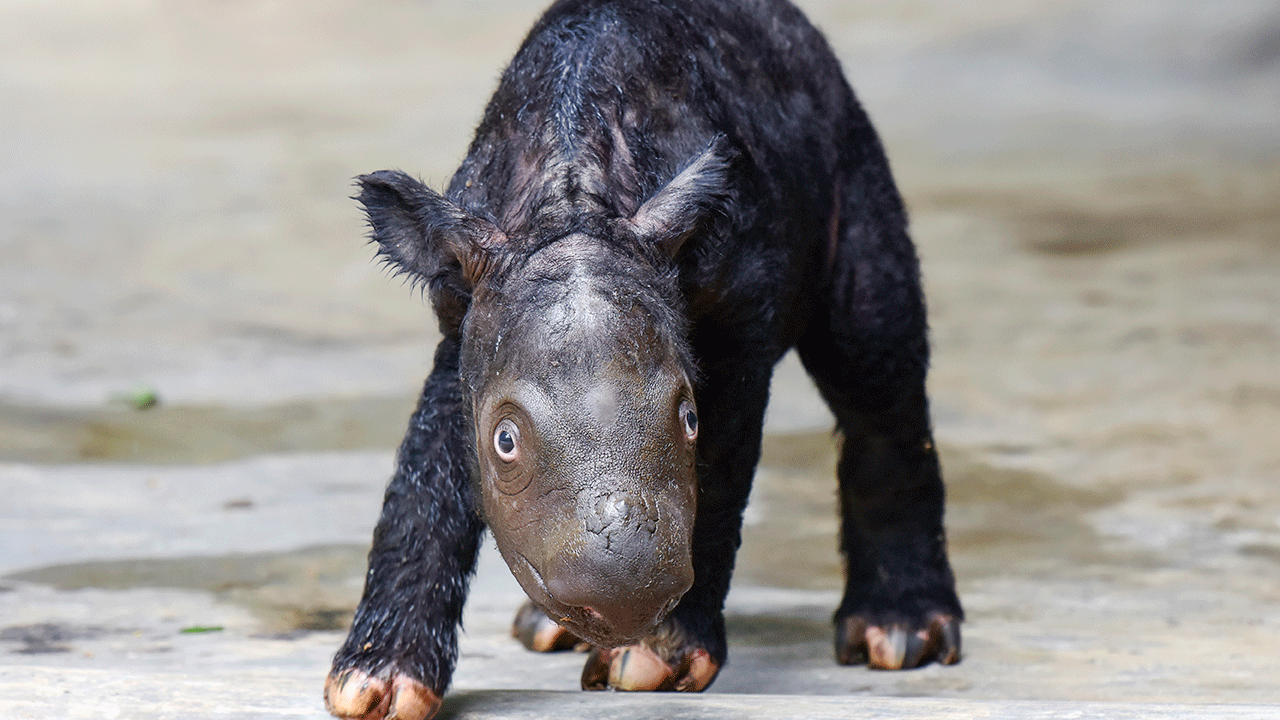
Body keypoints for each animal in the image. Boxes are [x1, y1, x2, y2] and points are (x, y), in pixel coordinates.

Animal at [325, 0, 962, 712]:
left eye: (687, 418)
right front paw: (374, 684)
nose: (624, 604)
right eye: (504, 441)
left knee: (874, 362)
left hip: (850, 148)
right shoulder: (464, 313)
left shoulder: (738, 314)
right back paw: (548, 629)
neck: (573, 202)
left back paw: (899, 636)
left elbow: (719, 470)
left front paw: (654, 659)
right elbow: (426, 473)